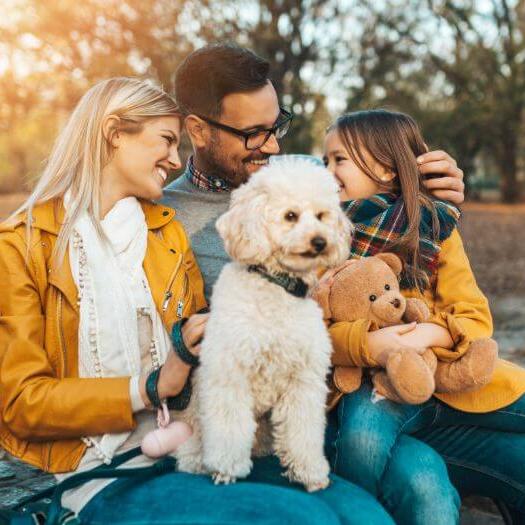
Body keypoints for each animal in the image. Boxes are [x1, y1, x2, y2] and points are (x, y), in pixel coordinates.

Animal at [176, 159, 352, 492]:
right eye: (290, 216)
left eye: (321, 216)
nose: (321, 241)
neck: (277, 287)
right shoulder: (229, 374)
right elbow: (229, 427)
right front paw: (227, 468)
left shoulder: (303, 383)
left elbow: (303, 432)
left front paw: (310, 472)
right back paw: (196, 460)